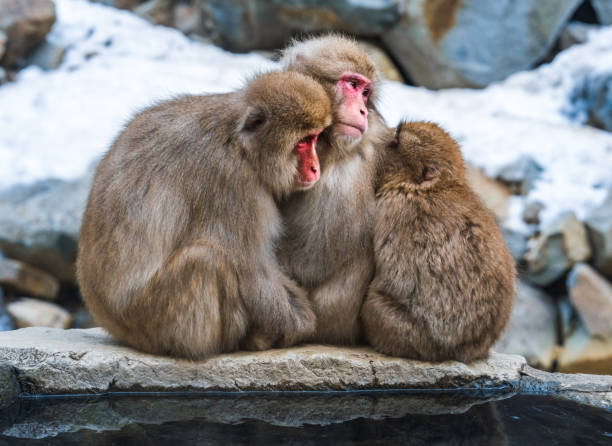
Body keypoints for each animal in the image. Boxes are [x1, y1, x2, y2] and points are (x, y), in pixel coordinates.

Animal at [79, 70, 334, 358]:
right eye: (303, 142)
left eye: (315, 138)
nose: (315, 168)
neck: (240, 142)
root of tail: (111, 324)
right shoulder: (232, 180)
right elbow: (251, 268)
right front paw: (300, 325)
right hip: (151, 321)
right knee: (206, 259)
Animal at [278, 34, 388, 344]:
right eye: (352, 84)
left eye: (366, 93)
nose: (362, 110)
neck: (326, 145)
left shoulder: (348, 174)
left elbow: (312, 261)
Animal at [364, 121, 516, 362]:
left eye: (395, 141)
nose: (386, 134)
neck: (429, 187)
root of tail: (463, 349)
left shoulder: (395, 210)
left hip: (411, 335)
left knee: (374, 306)